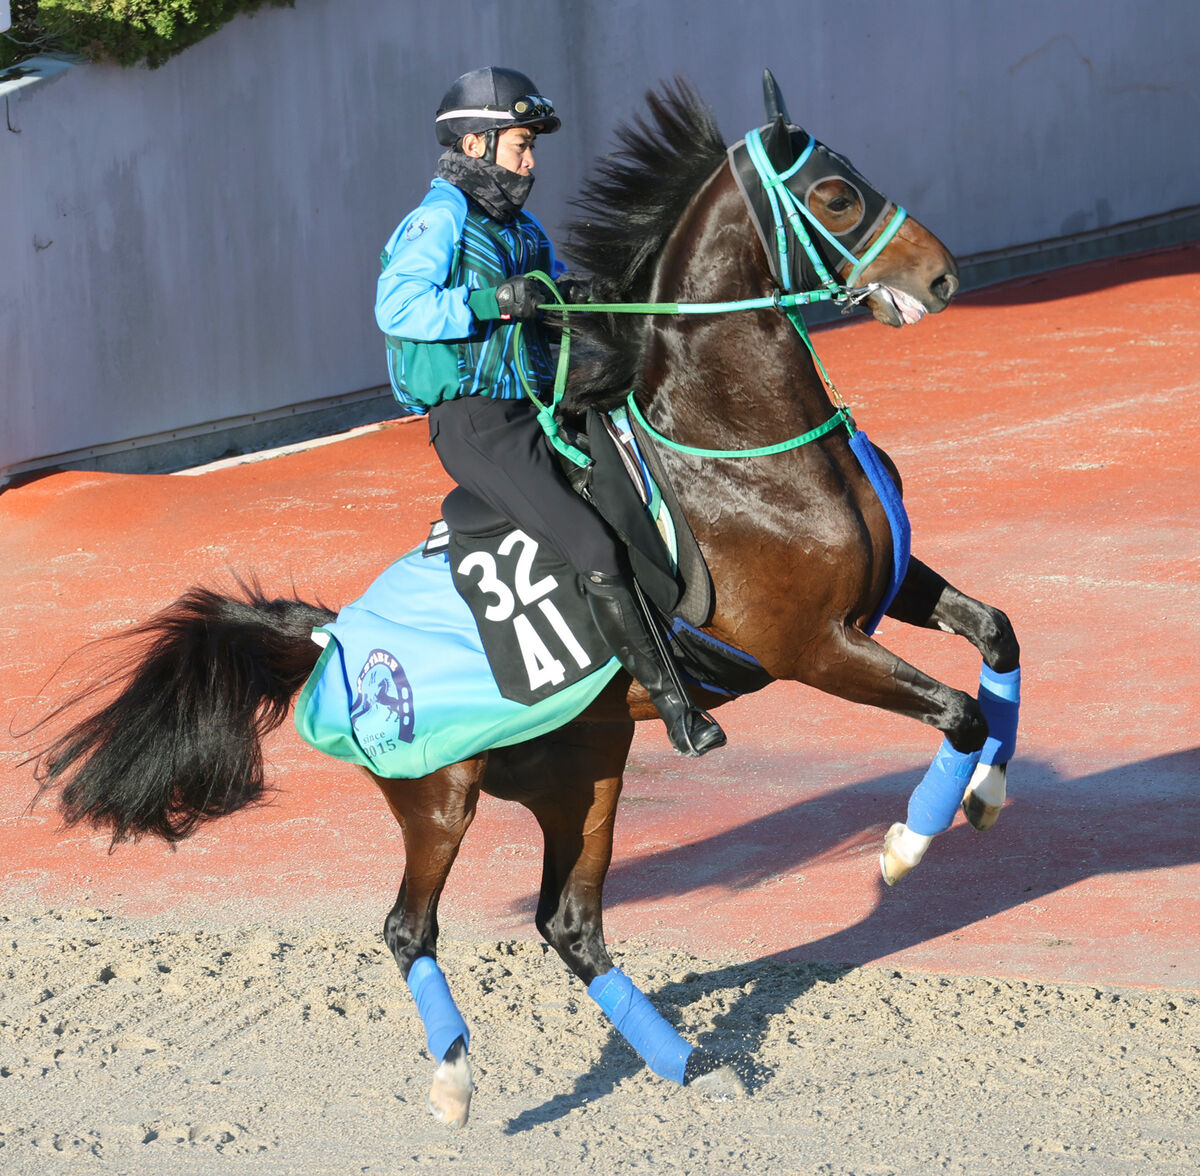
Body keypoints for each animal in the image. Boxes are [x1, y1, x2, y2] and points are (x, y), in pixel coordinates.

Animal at [28, 82, 1017, 1128]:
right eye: (834, 194)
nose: (943, 275)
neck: (731, 441)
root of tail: (338, 637)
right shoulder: (812, 647)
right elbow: (955, 711)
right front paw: (907, 845)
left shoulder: (888, 592)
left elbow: (996, 644)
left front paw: (989, 793)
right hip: (440, 797)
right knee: (409, 927)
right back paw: (456, 1080)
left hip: (583, 774)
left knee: (569, 923)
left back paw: (688, 1062)